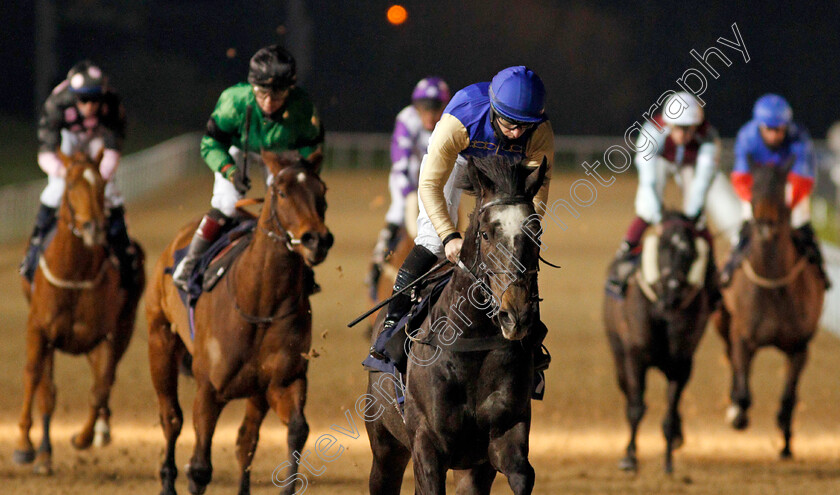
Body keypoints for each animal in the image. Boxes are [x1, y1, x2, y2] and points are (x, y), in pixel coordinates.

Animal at [14, 152, 146, 476]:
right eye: (71, 184)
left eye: (101, 184)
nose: (93, 228)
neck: (74, 273)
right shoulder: (40, 330)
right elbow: (37, 381)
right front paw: (29, 448)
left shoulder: (106, 336)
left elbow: (99, 388)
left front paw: (83, 437)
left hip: (124, 327)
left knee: (107, 379)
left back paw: (101, 430)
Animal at [144, 152, 332, 495]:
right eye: (282, 192)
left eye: (322, 190)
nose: (317, 240)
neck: (259, 303)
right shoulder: (209, 389)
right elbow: (200, 468)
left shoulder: (283, 382)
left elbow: (296, 430)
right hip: (160, 340)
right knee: (171, 418)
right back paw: (166, 481)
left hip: (256, 392)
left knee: (247, 439)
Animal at [364, 153, 548, 494]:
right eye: (486, 233)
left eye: (536, 233)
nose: (516, 313)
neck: (472, 340)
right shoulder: (426, 445)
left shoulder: (502, 436)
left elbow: (522, 473)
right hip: (385, 446)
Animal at [604, 211, 716, 474]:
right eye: (662, 247)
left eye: (692, 252)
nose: (673, 292)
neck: (662, 310)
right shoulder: (634, 356)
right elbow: (636, 407)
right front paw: (629, 458)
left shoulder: (682, 364)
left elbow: (670, 413)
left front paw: (668, 462)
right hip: (617, 352)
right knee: (628, 393)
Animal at [712, 161, 824, 460]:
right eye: (754, 186)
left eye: (783, 186)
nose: (765, 225)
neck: (774, 285)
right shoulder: (743, 338)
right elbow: (743, 391)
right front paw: (737, 414)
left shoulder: (799, 347)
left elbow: (788, 397)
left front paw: (785, 443)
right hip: (722, 322)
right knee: (730, 358)